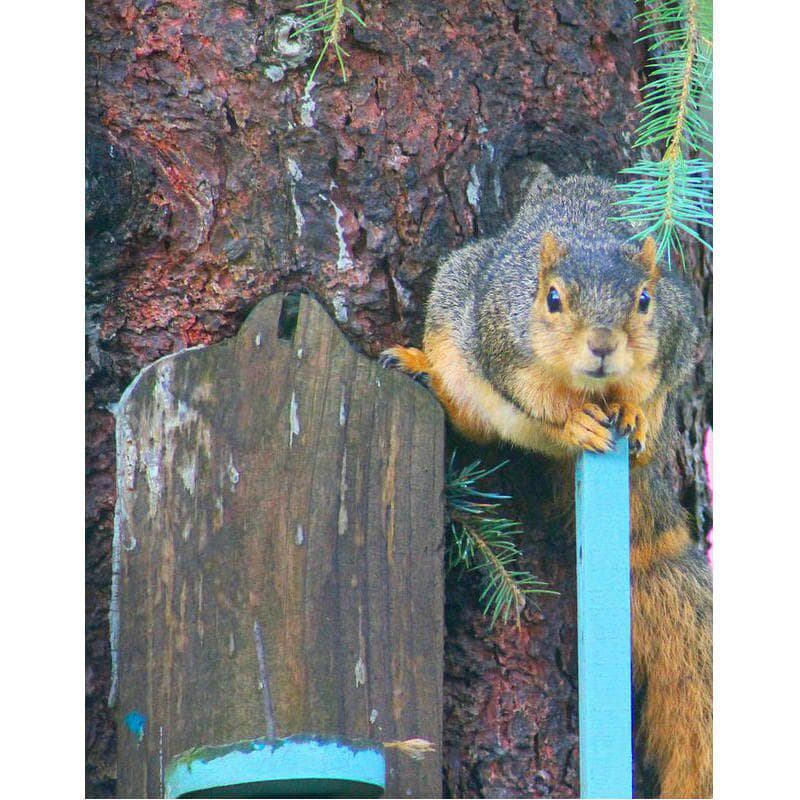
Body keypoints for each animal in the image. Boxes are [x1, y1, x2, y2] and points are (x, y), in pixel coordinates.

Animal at [380, 175, 712, 798]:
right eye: (552, 299)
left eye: (644, 301)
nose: (602, 345)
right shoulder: (500, 338)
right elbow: (536, 395)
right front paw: (572, 418)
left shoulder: (678, 334)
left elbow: (653, 385)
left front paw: (636, 412)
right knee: (470, 416)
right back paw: (423, 371)